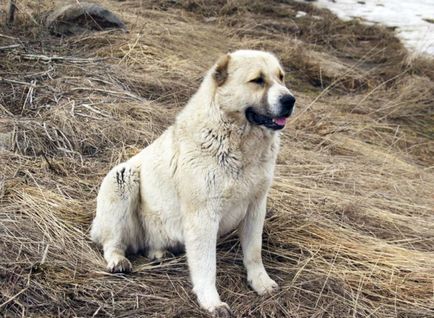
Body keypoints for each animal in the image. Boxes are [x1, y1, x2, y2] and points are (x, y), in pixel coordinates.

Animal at [90, 49, 294, 316]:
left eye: (281, 77)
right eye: (257, 80)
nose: (290, 100)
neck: (237, 143)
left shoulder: (255, 207)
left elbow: (254, 251)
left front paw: (261, 283)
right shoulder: (203, 216)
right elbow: (206, 264)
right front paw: (212, 302)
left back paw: (159, 253)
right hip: (121, 179)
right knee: (112, 241)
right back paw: (118, 260)